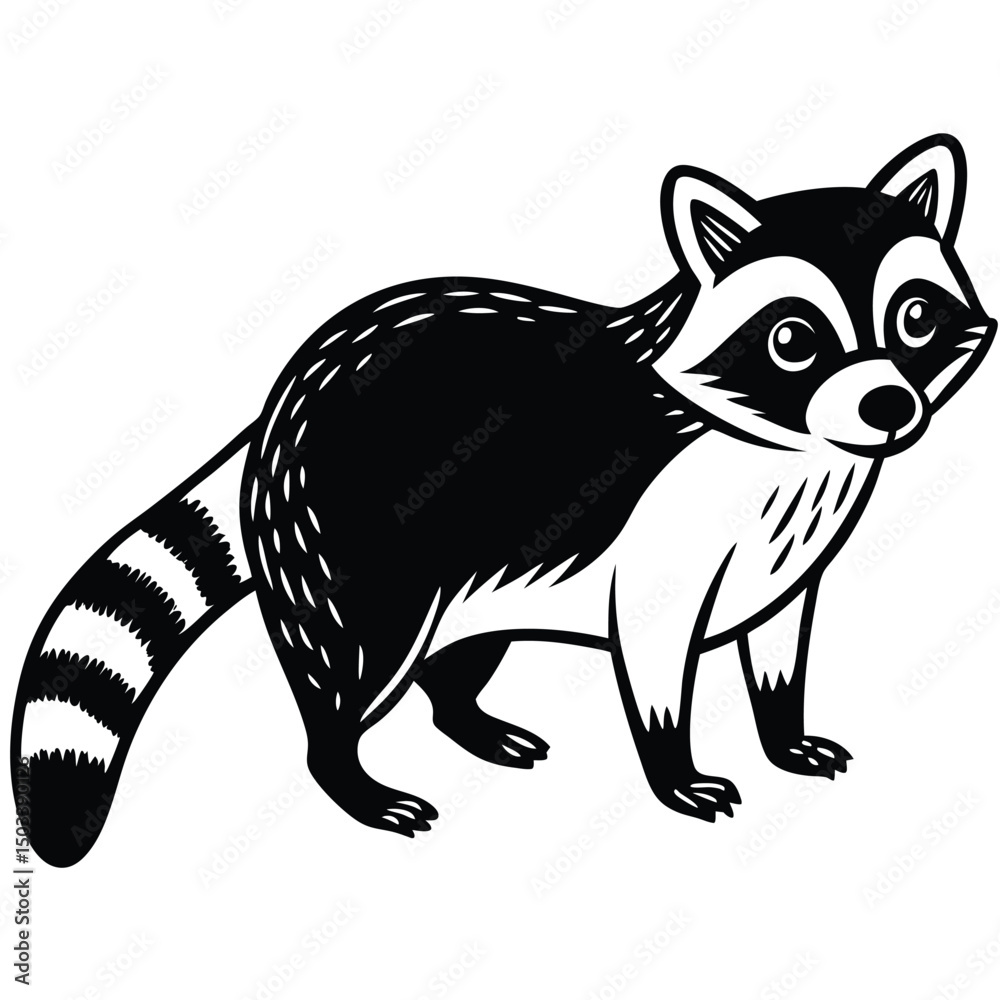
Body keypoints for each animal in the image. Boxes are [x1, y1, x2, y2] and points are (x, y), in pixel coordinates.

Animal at [10, 134, 995, 867]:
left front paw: (784, 730)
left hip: (482, 565)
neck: (791, 444)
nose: (887, 407)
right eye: (794, 339)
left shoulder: (789, 541)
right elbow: (654, 663)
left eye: (915, 317)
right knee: (353, 665)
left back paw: (466, 716)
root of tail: (285, 394)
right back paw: (351, 775)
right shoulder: (658, 536)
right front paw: (676, 768)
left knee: (457, 655)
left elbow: (780, 642)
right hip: (352, 542)